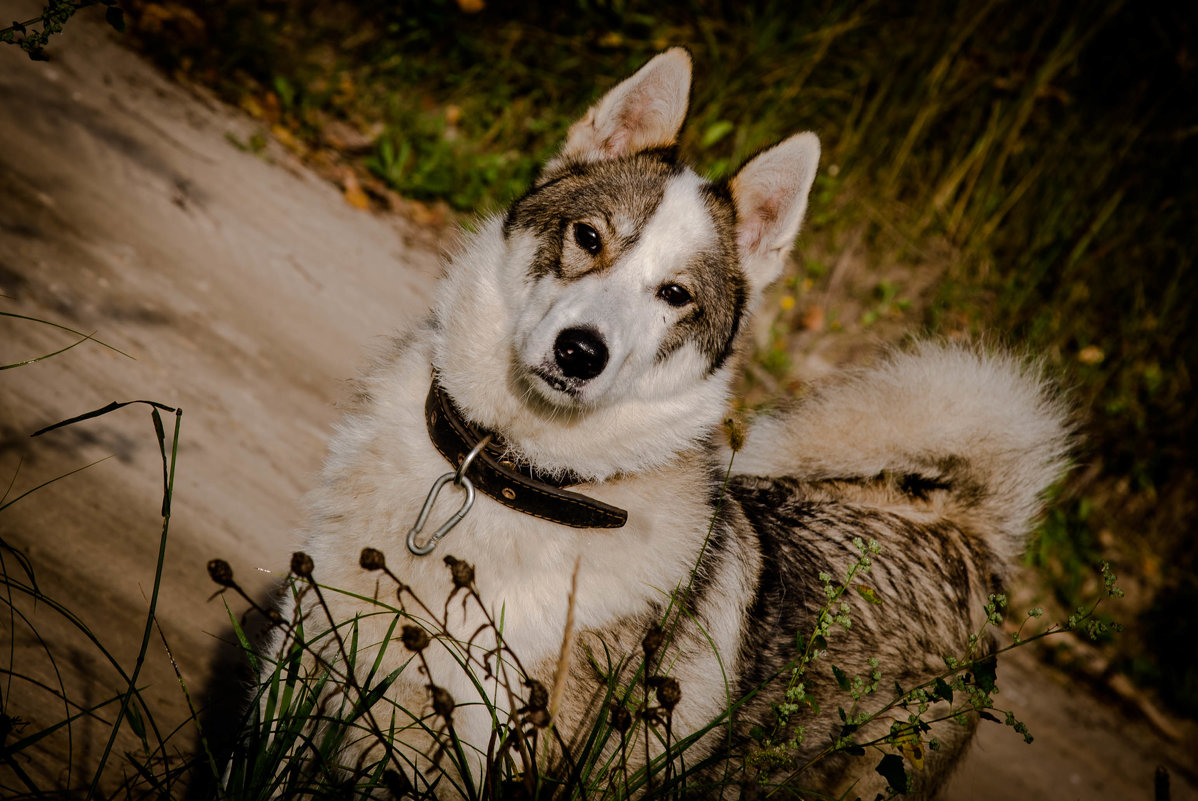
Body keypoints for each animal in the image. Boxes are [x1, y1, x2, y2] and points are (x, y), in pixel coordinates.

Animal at [247, 49, 1073, 799]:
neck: (510, 475)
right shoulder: (298, 686)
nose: (581, 352)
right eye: (589, 237)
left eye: (675, 294)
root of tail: (966, 530)